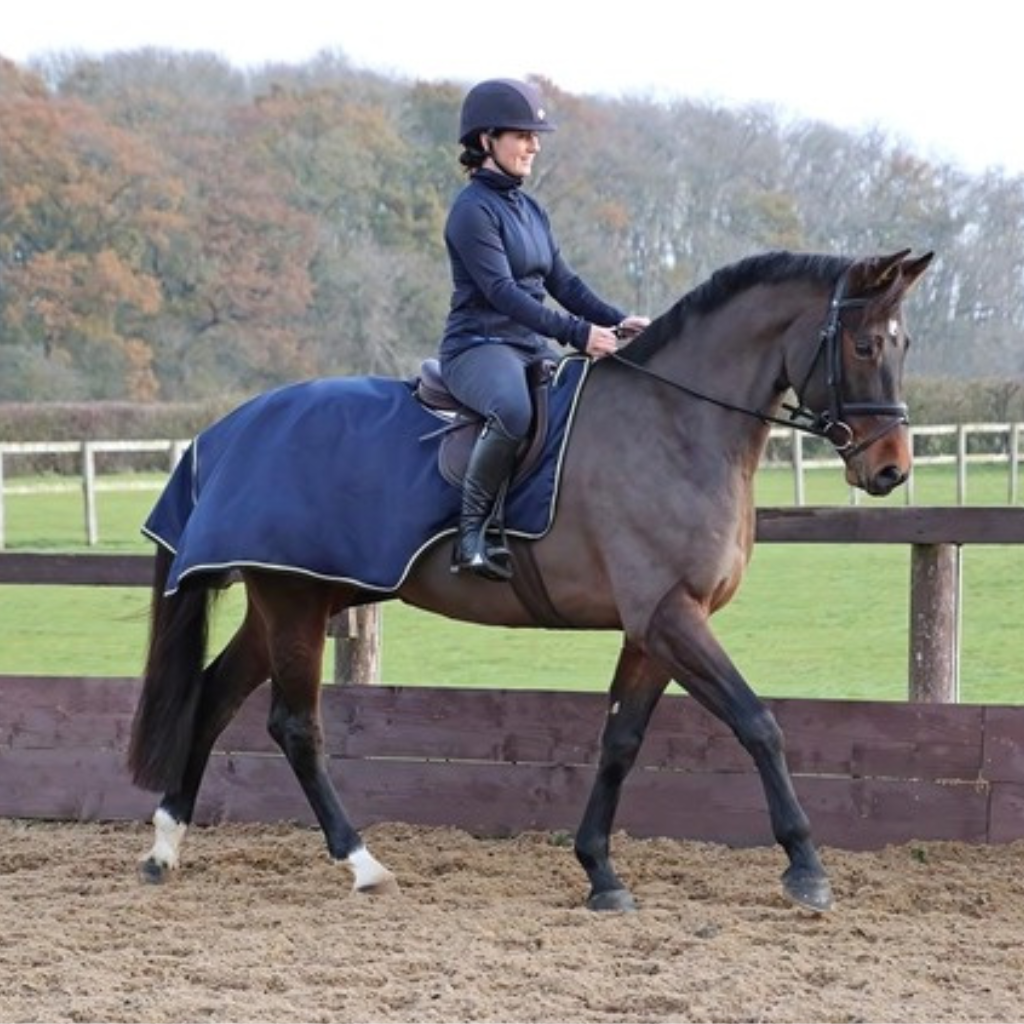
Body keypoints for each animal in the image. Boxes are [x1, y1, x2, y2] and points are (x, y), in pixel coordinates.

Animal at [128, 247, 933, 913]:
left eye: (905, 344)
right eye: (864, 344)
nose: (890, 469)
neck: (674, 424)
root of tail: (225, 432)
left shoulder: (654, 626)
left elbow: (621, 741)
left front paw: (600, 872)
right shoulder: (671, 616)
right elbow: (758, 723)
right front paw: (805, 867)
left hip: (295, 598)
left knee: (214, 696)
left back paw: (167, 846)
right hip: (293, 602)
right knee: (296, 727)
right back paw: (362, 863)